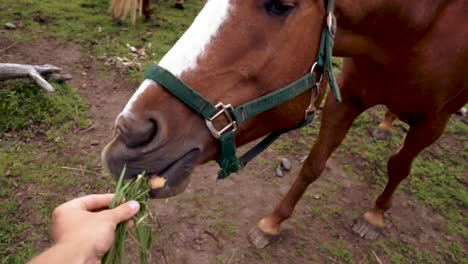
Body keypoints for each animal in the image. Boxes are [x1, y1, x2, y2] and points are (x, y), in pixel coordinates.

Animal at [103, 0, 468, 249]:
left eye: (280, 5)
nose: (130, 135)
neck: (416, 26)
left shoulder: (433, 123)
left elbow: (398, 167)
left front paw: (375, 216)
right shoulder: (344, 98)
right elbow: (313, 164)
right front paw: (272, 223)